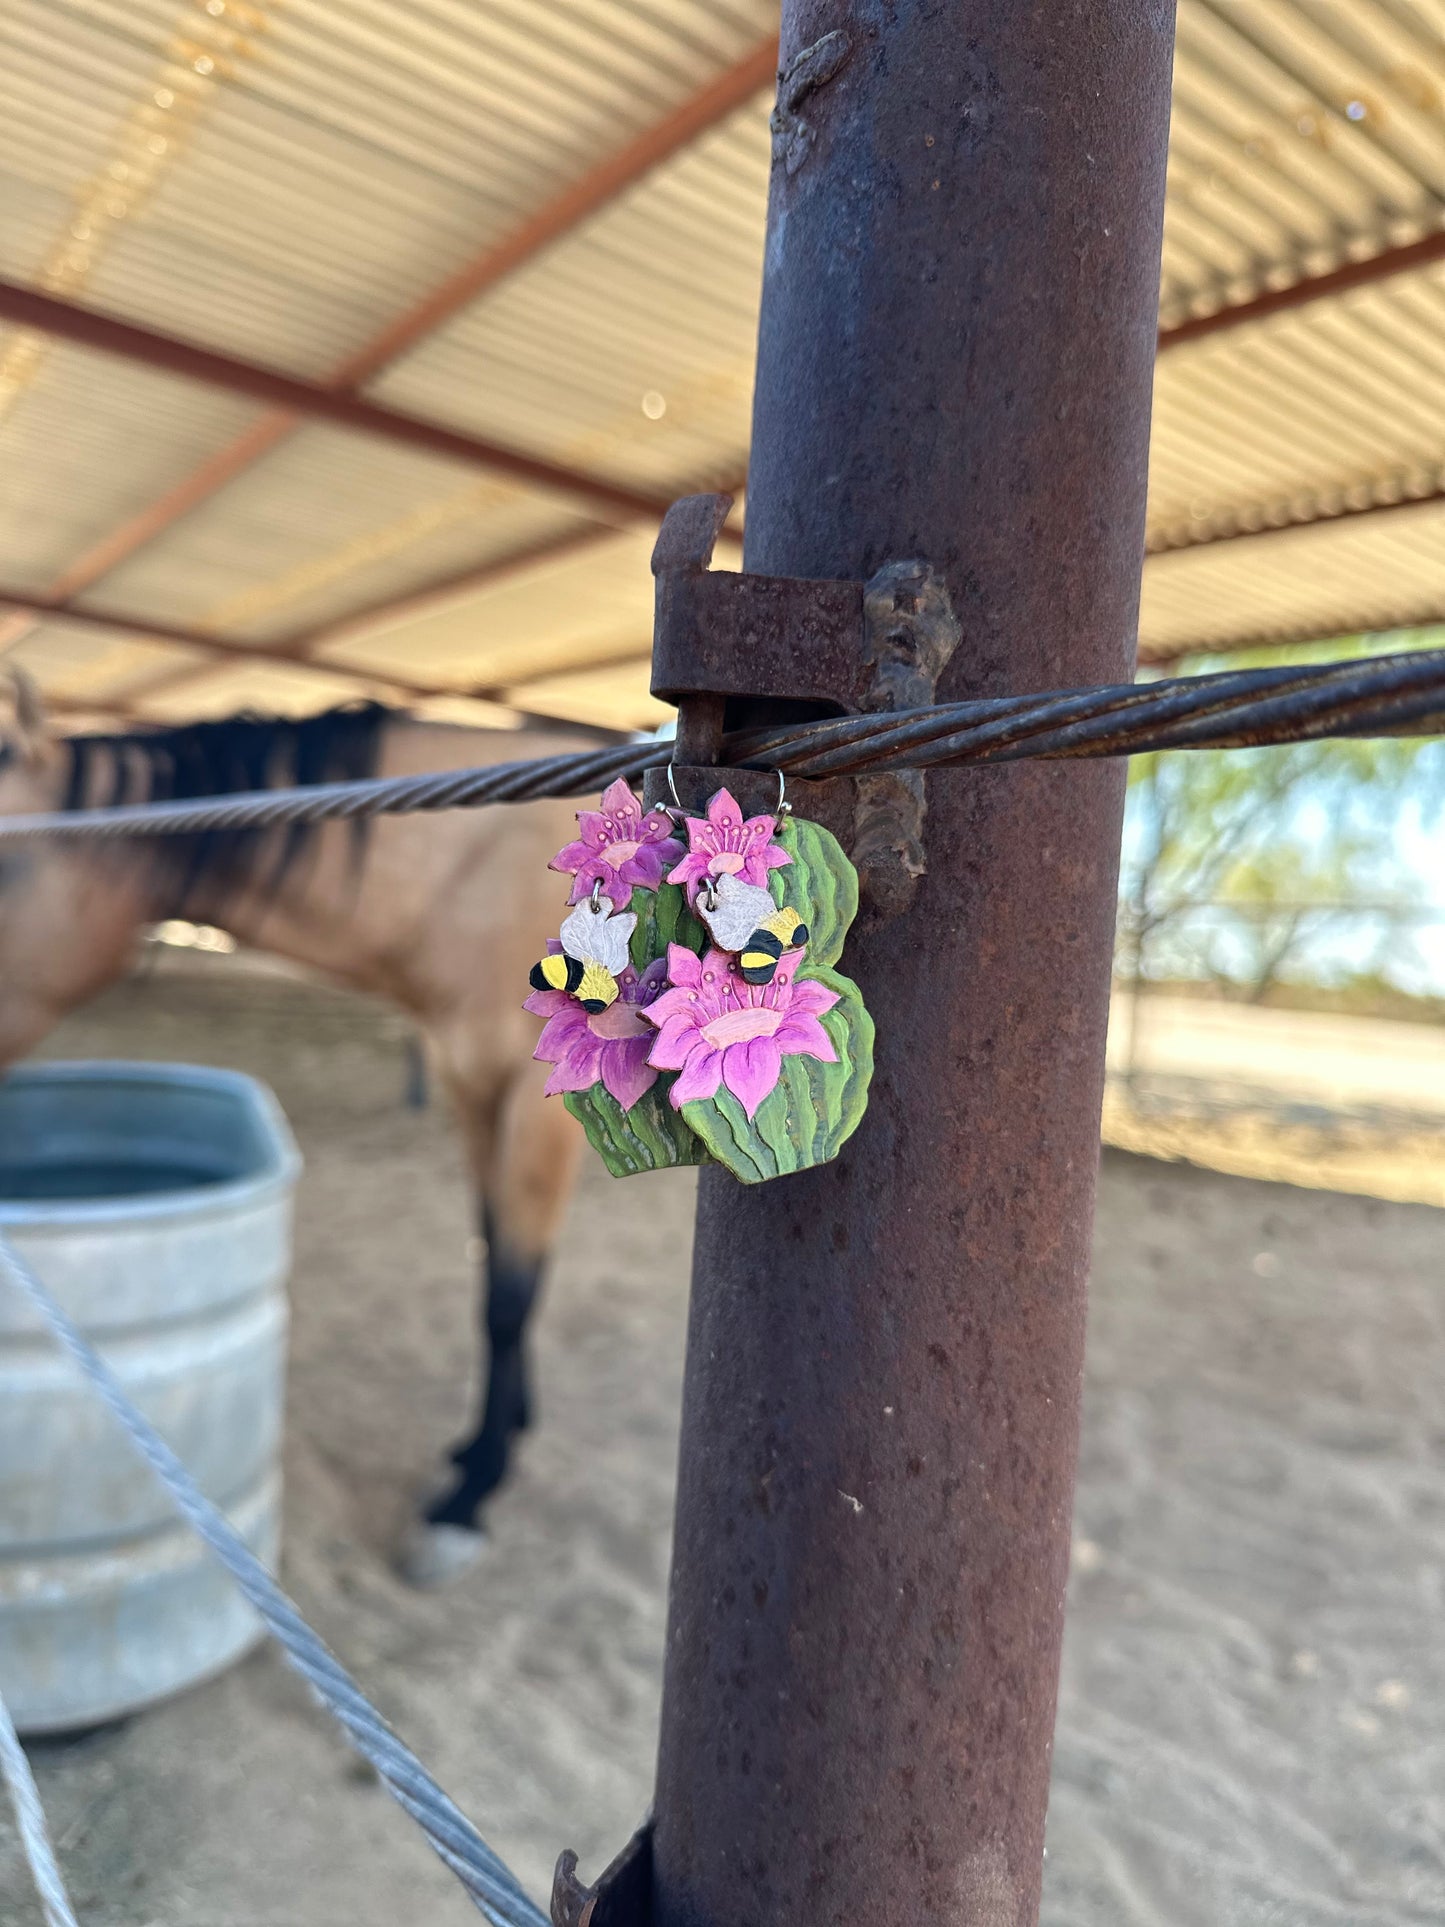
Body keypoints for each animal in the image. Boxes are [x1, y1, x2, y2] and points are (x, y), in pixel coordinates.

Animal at [0, 674, 593, 1580]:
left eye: (5, 868)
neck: (480, 875)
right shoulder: (471, 1090)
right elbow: (491, 1257)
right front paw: (482, 1445)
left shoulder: (537, 1110)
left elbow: (508, 1295)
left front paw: (467, 1499)